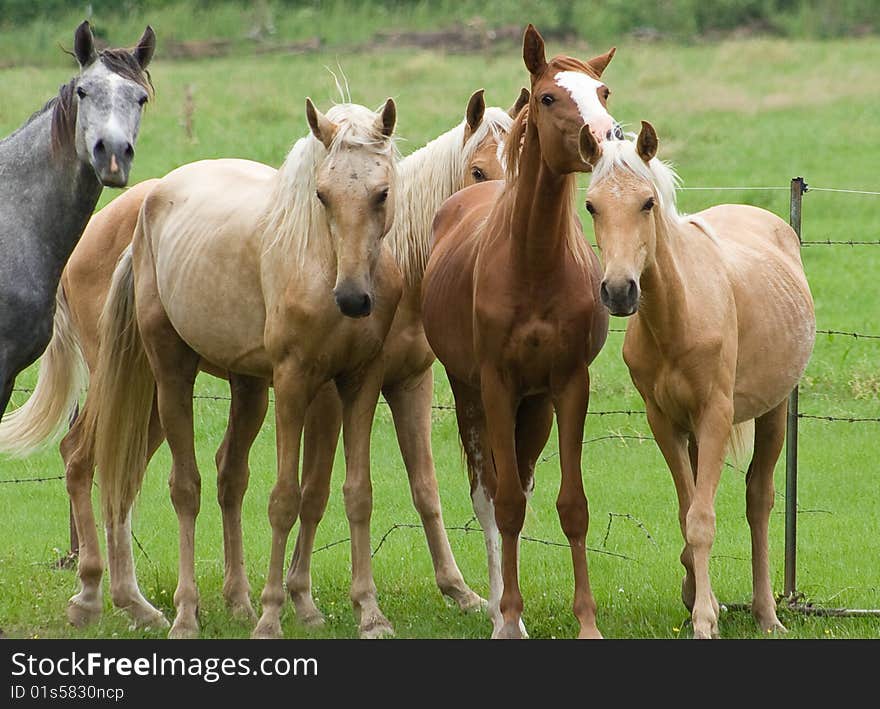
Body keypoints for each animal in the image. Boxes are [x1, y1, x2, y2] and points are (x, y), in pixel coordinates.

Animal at [81, 98, 400, 636]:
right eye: (322, 195)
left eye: (382, 193)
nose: (354, 298)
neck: (321, 266)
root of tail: (151, 200)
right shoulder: (293, 384)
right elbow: (284, 500)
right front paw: (272, 616)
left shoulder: (361, 382)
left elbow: (358, 494)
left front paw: (370, 613)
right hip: (171, 375)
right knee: (185, 489)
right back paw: (185, 614)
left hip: (247, 388)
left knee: (229, 477)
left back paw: (238, 601)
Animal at [422, 24, 620, 640]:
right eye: (549, 97)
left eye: (602, 91)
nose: (605, 137)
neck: (533, 261)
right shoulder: (495, 383)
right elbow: (503, 502)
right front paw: (508, 619)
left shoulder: (569, 385)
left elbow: (571, 505)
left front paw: (588, 623)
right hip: (472, 394)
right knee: (489, 494)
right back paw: (495, 604)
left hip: (534, 407)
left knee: (527, 485)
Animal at [580, 124, 816, 640]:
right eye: (591, 206)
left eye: (647, 202)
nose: (619, 291)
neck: (679, 314)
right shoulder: (665, 423)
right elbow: (686, 511)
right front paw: (695, 597)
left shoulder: (715, 416)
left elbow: (703, 519)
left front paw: (706, 619)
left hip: (772, 412)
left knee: (758, 500)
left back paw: (767, 613)